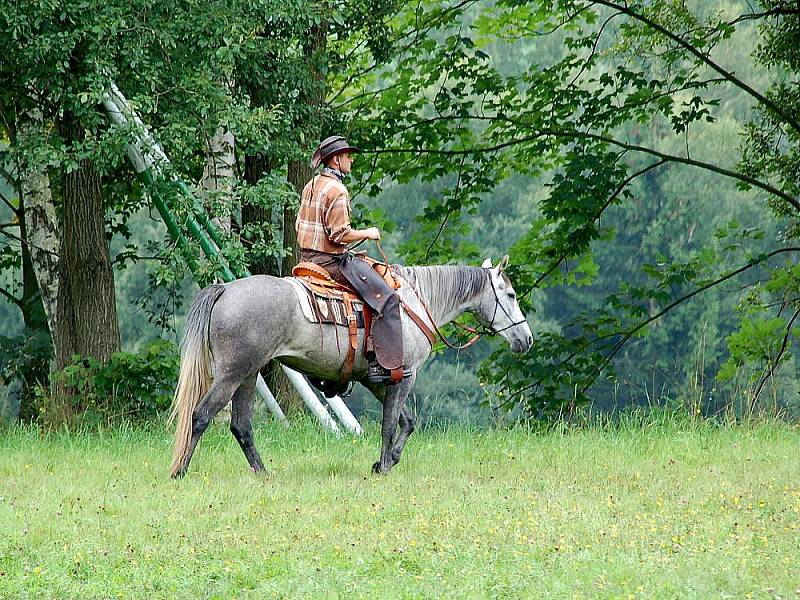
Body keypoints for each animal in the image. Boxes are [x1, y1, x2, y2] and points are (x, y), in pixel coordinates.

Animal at [169, 254, 532, 478]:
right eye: (511, 295)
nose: (526, 339)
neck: (416, 302)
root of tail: (226, 288)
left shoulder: (378, 380)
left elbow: (406, 422)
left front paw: (387, 461)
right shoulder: (405, 376)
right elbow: (390, 425)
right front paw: (384, 467)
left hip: (248, 374)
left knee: (241, 426)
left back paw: (263, 473)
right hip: (232, 375)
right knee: (201, 415)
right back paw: (179, 470)